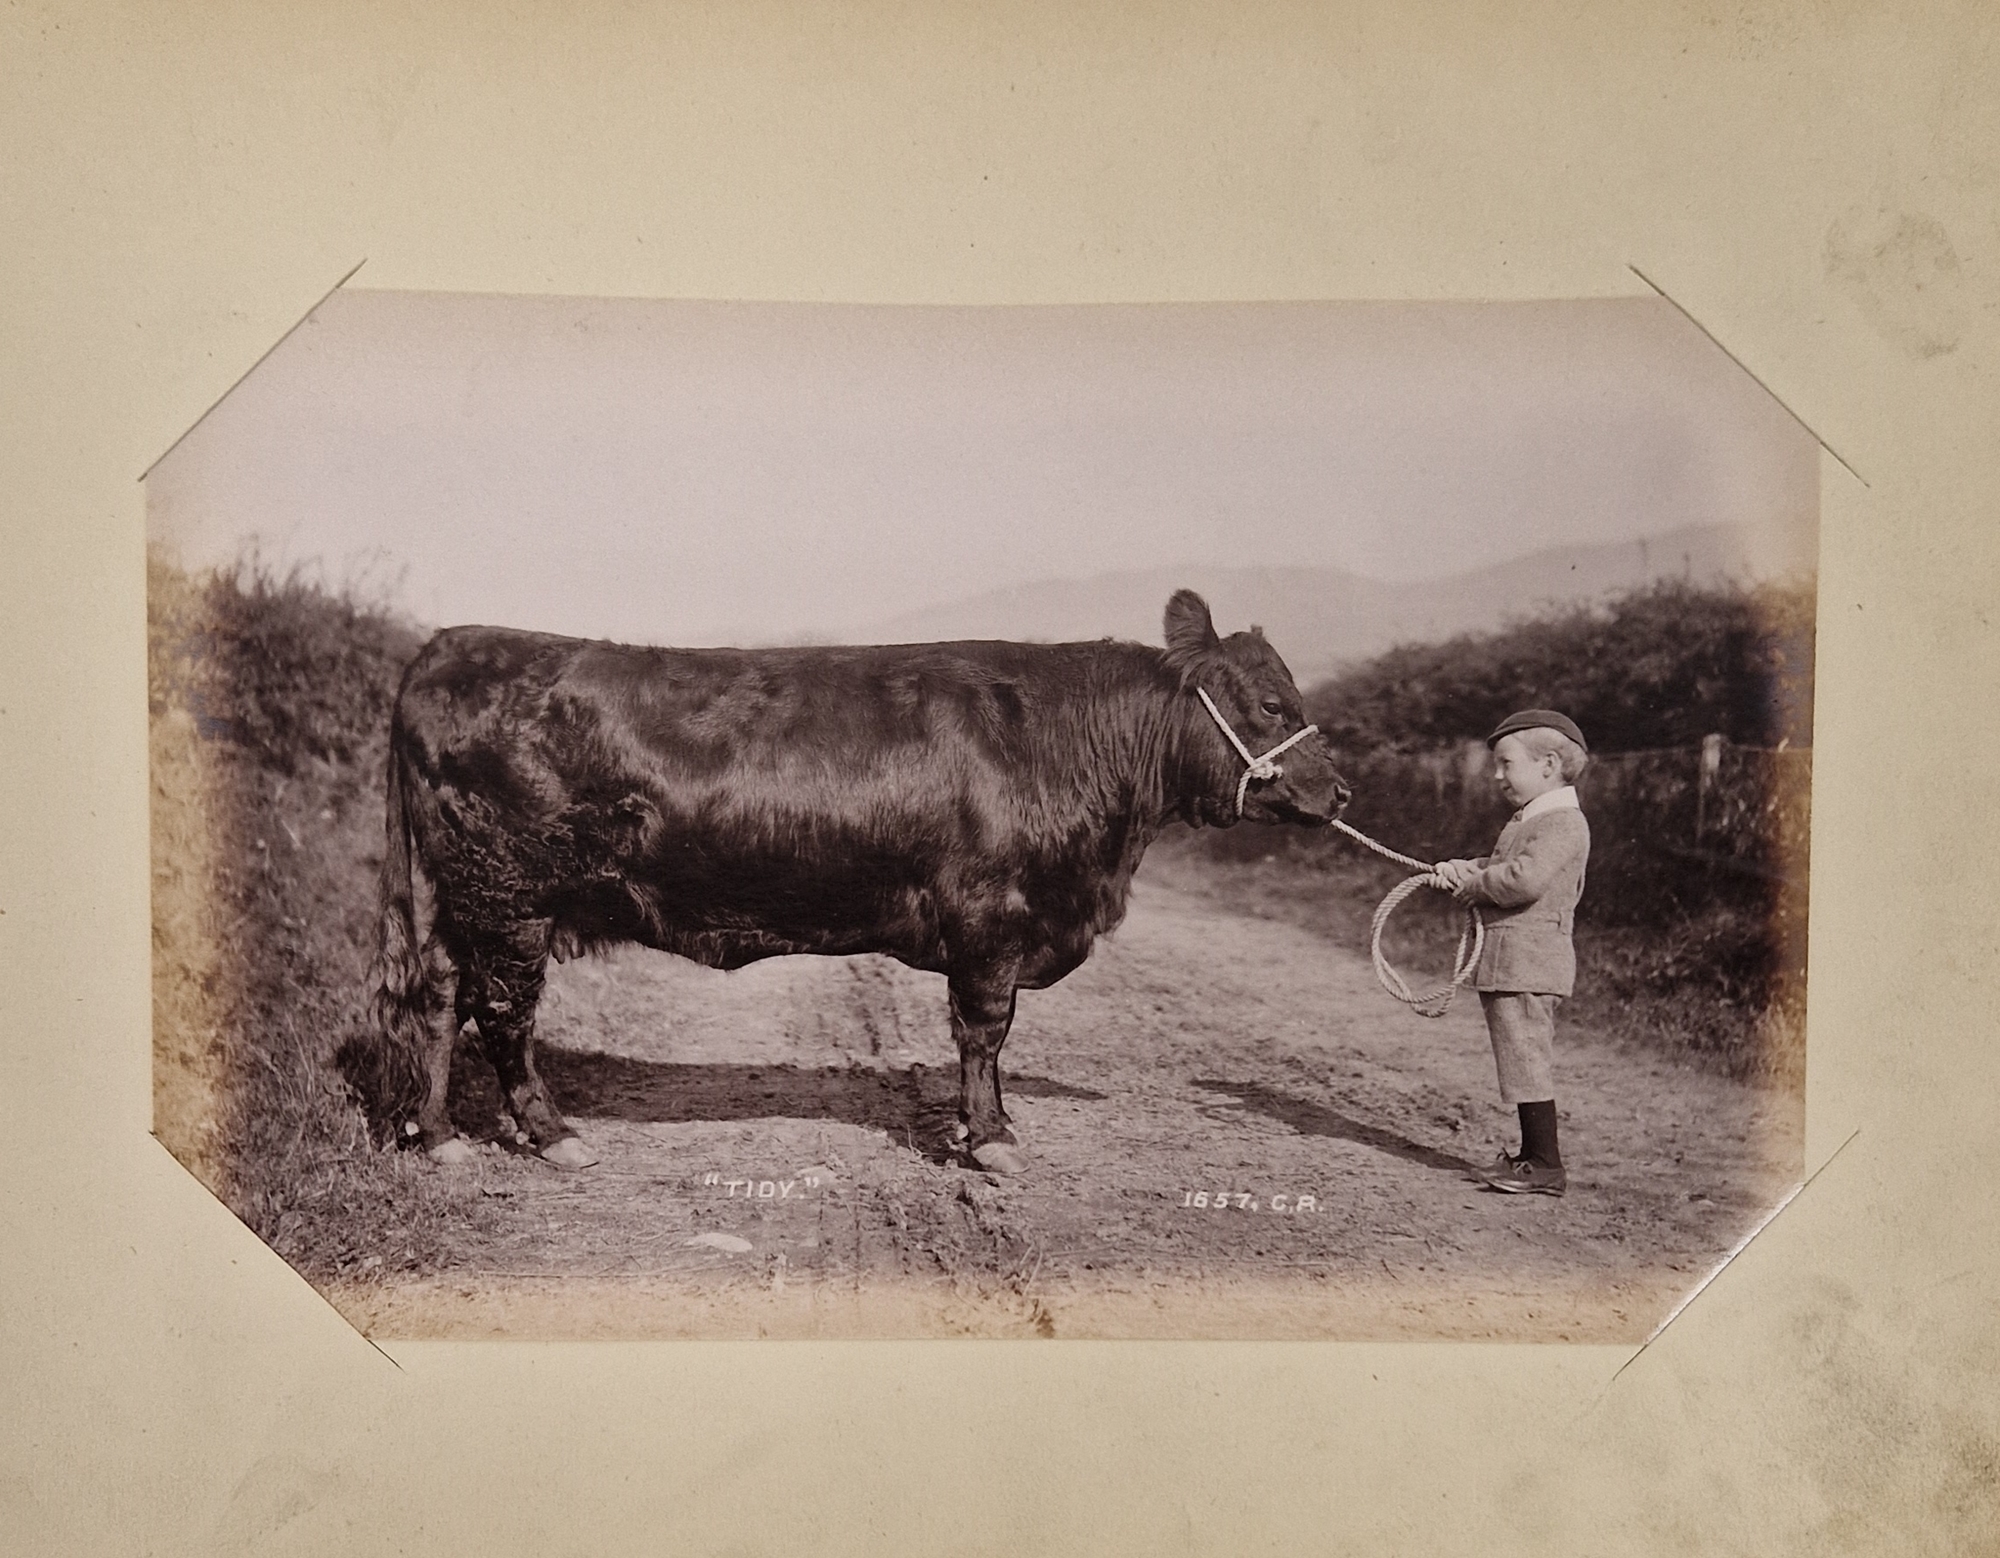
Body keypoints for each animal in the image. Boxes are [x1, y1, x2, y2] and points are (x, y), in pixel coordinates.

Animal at [372, 592, 1344, 1176]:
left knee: (440, 998)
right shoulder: (991, 918)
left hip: (464, 899)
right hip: (509, 896)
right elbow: (985, 1032)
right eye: (1270, 706)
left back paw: (441, 1136)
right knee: (503, 1012)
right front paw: (991, 1138)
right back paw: (553, 1134)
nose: (1337, 792)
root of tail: (450, 643)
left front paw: (978, 1128)